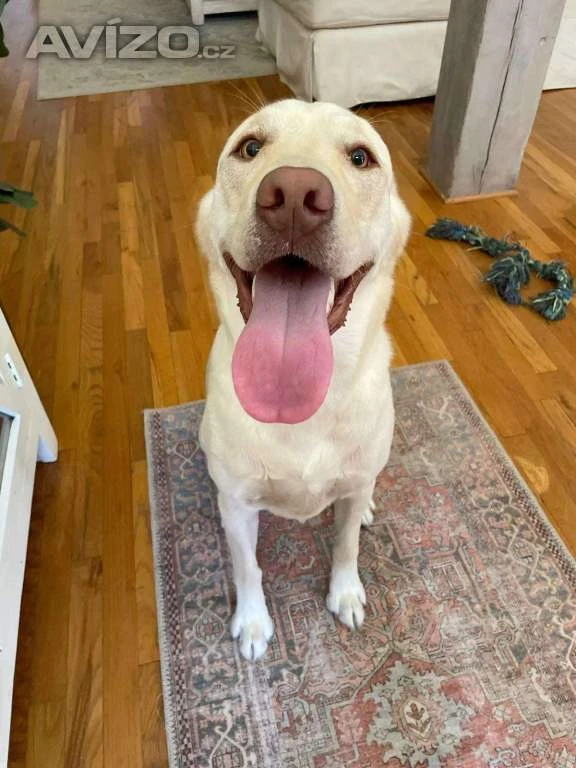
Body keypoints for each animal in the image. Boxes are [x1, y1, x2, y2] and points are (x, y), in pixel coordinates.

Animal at [195, 99, 410, 660]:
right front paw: (252, 624)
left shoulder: (353, 484)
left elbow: (346, 544)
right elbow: (247, 567)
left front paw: (346, 593)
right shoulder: (239, 506)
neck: (303, 406)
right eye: (250, 147)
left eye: (361, 157)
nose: (293, 195)